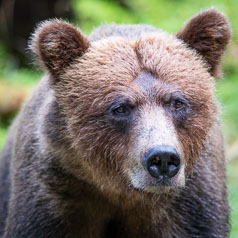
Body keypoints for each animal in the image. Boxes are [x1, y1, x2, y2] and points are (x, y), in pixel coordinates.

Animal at [0, 7, 231, 238]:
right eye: (120, 108)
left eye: (177, 103)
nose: (163, 158)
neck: (123, 193)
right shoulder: (54, 193)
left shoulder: (191, 202)